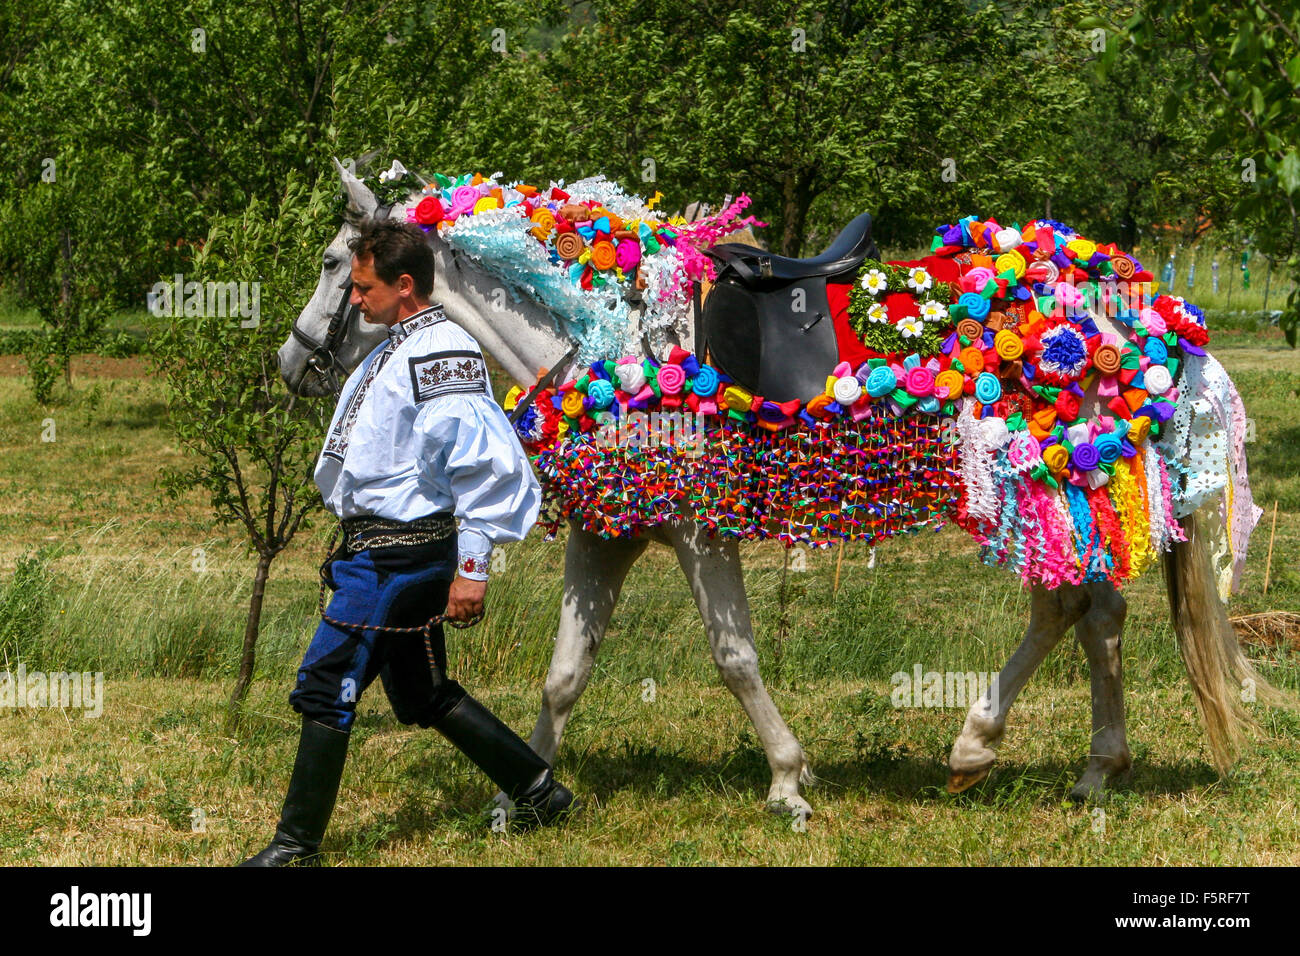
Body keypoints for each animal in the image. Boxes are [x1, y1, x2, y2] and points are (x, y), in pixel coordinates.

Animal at [277, 160, 1290, 816]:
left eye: (333, 264)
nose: (290, 362)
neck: (608, 340)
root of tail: (1132, 302)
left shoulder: (697, 533)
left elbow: (735, 658)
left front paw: (789, 784)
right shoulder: (609, 531)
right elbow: (567, 671)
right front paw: (523, 798)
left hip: (1032, 480)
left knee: (1065, 607)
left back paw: (975, 745)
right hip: (1080, 489)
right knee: (1098, 615)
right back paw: (1095, 769)